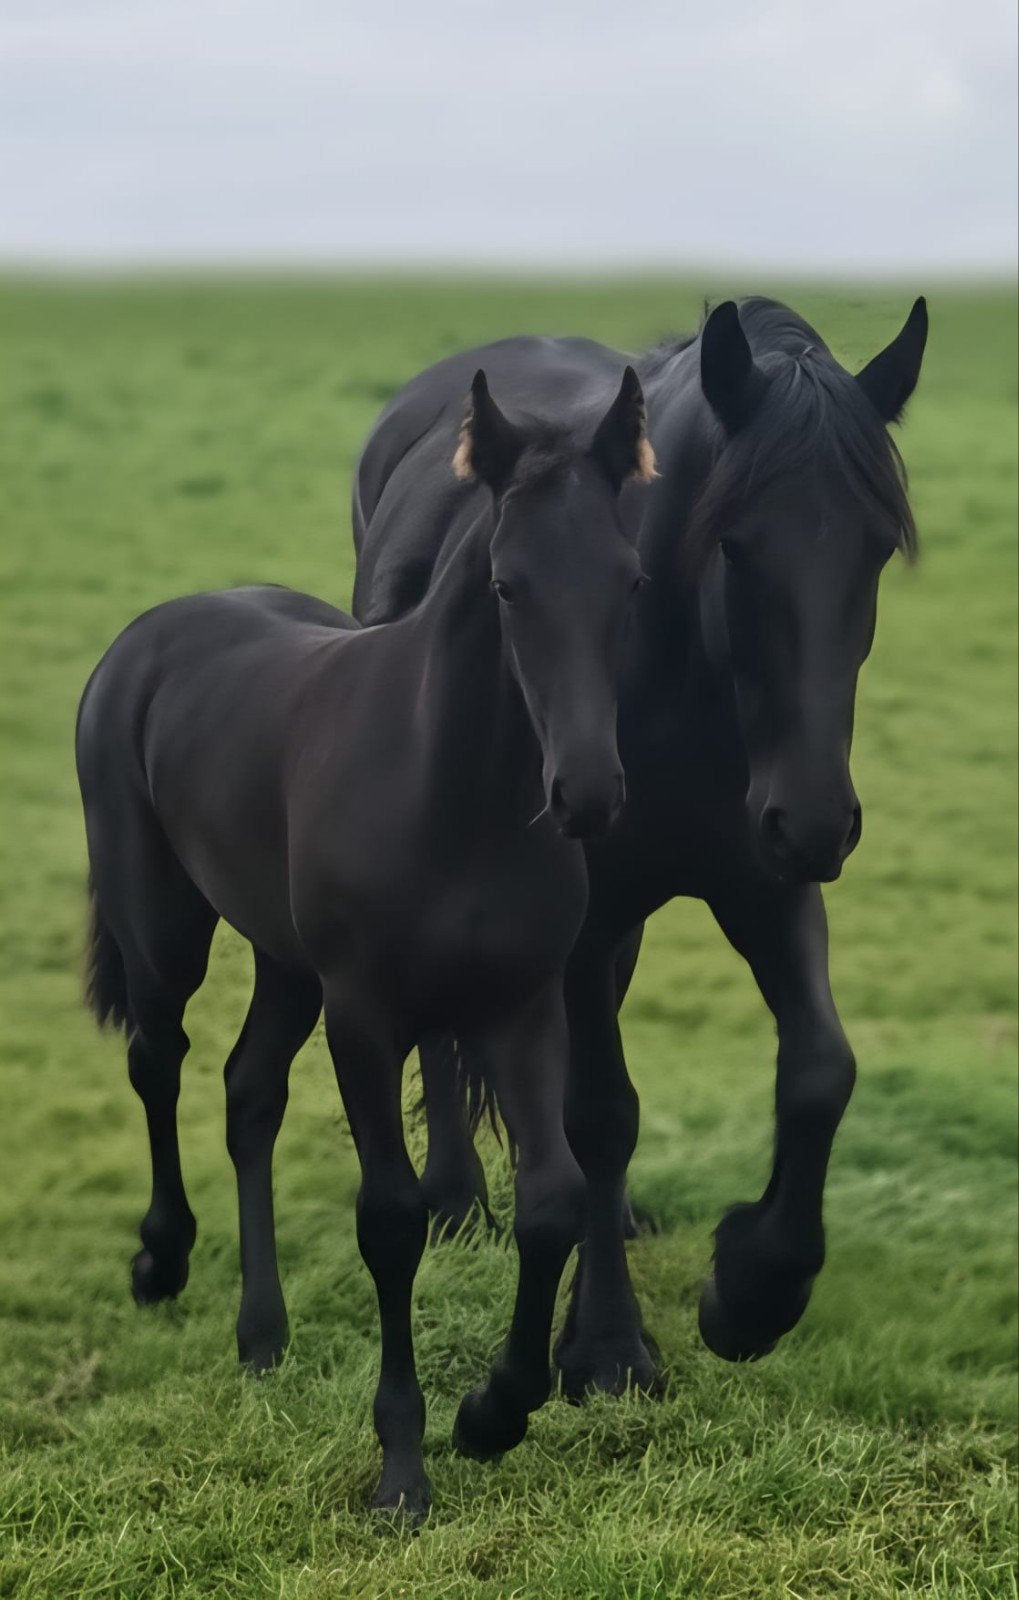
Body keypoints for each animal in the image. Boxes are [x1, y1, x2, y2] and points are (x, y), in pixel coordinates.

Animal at [76, 366, 655, 1517]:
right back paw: (163, 1262)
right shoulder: (365, 1014)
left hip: (284, 962)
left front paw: (493, 1413)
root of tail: (145, 638)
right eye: (507, 585)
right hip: (165, 930)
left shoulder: (522, 1005)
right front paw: (400, 1469)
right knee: (159, 1059)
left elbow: (553, 1201)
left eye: (625, 580)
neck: (452, 795)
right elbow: (390, 1218)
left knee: (248, 1091)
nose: (586, 793)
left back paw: (262, 1334)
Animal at [351, 295, 928, 1394]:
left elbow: (818, 1071)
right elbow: (599, 1112)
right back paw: (452, 1197)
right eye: (735, 547)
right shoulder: (578, 918)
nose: (819, 819)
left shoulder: (767, 882)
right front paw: (608, 1344)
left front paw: (752, 1289)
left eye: (876, 549)